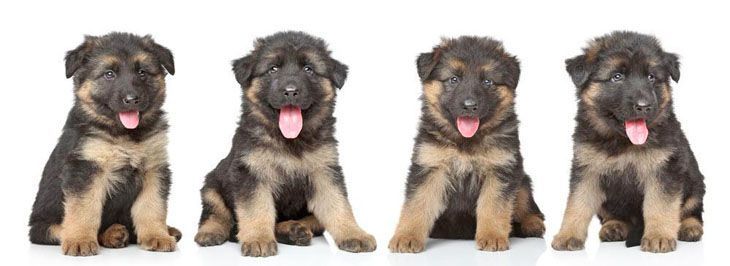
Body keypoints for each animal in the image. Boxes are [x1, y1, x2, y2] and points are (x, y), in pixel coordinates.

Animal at [29, 32, 181, 256]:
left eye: (142, 73)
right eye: (109, 74)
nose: (132, 99)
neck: (125, 135)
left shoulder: (154, 169)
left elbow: (152, 206)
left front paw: (157, 235)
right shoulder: (86, 168)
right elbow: (84, 209)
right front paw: (80, 240)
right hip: (44, 227)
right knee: (64, 229)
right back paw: (111, 234)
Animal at [193, 31, 376, 258]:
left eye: (308, 69)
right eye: (273, 69)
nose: (290, 91)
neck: (290, 140)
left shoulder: (325, 172)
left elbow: (338, 204)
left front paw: (354, 234)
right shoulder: (251, 173)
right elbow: (257, 208)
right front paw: (258, 239)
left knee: (313, 221)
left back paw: (294, 229)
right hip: (211, 184)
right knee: (216, 214)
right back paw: (211, 232)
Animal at [390, 36, 544, 252]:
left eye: (487, 82)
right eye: (454, 79)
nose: (470, 106)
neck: (465, 142)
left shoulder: (501, 169)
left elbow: (493, 206)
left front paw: (492, 236)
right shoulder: (429, 167)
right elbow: (417, 204)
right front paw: (407, 236)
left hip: (522, 181)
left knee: (529, 206)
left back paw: (532, 224)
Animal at [552, 30, 704, 252]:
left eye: (651, 77)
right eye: (617, 77)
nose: (644, 106)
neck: (622, 142)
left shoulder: (664, 170)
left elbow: (660, 205)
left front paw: (658, 235)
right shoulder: (587, 170)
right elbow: (577, 204)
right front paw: (568, 234)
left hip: (694, 181)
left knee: (692, 210)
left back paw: (689, 227)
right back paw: (614, 226)